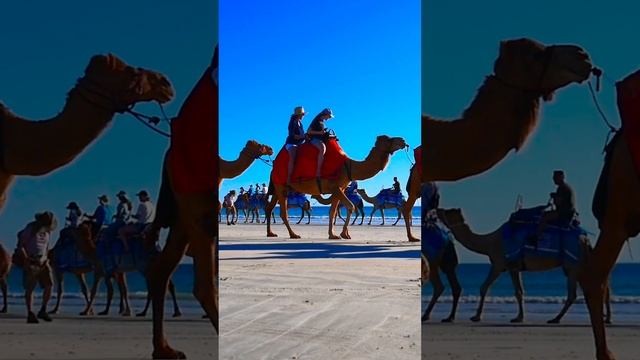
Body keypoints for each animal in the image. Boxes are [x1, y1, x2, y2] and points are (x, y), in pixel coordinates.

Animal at [266, 135, 408, 239]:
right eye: (389, 139)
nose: (403, 140)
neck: (348, 167)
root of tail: (274, 166)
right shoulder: (335, 187)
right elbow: (350, 206)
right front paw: (344, 234)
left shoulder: (339, 189)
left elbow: (332, 212)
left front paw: (333, 235)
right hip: (280, 185)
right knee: (283, 212)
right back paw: (293, 234)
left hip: (279, 188)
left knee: (270, 208)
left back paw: (271, 233)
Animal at [440, 207, 608, 324]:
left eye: (448, 211)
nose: (438, 209)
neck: (489, 242)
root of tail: (585, 238)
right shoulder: (514, 267)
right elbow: (520, 291)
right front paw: (519, 317)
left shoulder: (500, 264)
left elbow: (485, 287)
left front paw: (476, 316)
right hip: (578, 265)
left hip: (572, 265)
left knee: (573, 294)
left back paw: (555, 319)